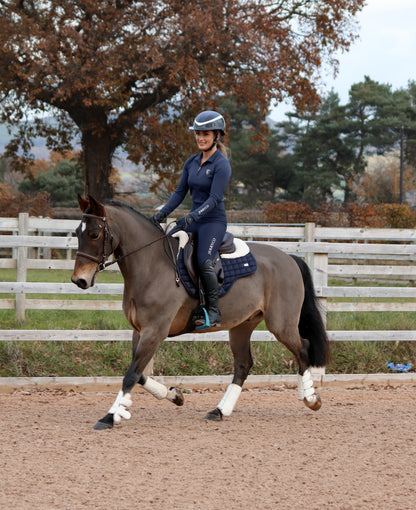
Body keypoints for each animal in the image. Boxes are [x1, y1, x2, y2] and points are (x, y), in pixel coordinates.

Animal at [72, 197, 332, 428]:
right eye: (77, 233)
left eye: (94, 234)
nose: (79, 280)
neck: (152, 265)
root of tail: (289, 258)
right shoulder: (141, 331)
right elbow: (138, 373)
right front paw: (175, 395)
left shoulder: (154, 331)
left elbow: (131, 374)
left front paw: (110, 416)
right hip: (242, 325)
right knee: (243, 364)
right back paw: (220, 410)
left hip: (281, 324)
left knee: (303, 348)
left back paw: (311, 399)